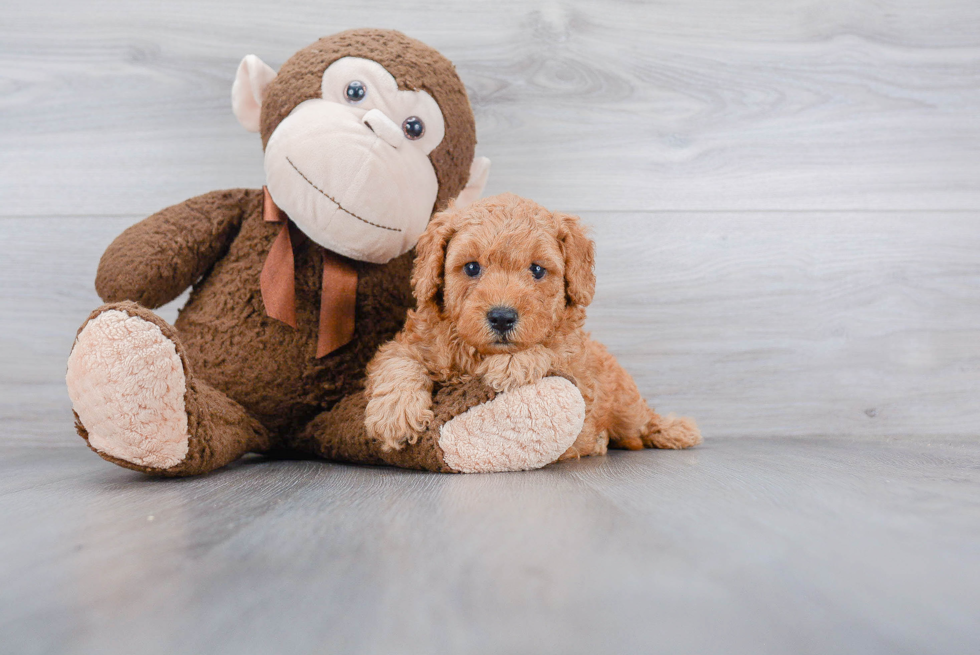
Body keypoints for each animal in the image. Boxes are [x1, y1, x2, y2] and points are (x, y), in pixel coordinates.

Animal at [364, 193, 700, 462]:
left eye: (537, 269)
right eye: (471, 267)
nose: (502, 317)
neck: (477, 353)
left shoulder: (575, 366)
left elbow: (549, 351)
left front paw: (512, 362)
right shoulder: (415, 341)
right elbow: (397, 361)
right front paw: (394, 414)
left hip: (625, 402)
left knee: (642, 420)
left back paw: (676, 430)